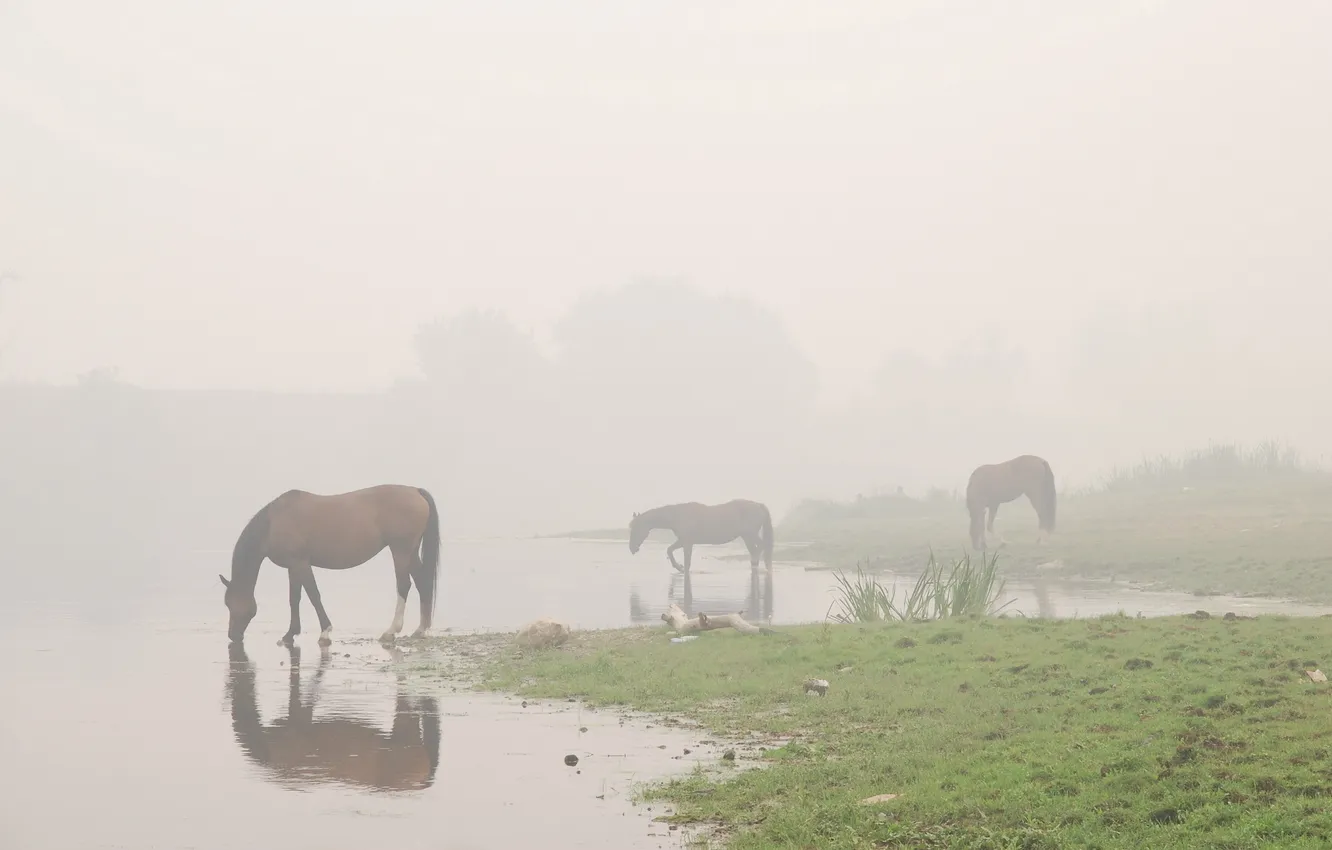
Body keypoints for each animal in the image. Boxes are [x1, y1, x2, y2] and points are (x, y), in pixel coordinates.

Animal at [219, 484, 441, 646]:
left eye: (230, 603)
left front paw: (325, 632)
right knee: (422, 583)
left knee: (404, 585)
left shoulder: (301, 563)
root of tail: (415, 491)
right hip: (411, 552)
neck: (273, 523)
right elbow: (295, 599)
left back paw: (391, 631)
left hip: (400, 551)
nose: (232, 635)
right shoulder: (293, 566)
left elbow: (313, 595)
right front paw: (289, 634)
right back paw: (420, 629)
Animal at [628, 499, 774, 573]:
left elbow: (685, 561)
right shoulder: (683, 541)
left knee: (761, 547)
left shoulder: (686, 542)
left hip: (750, 534)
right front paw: (679, 567)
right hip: (746, 537)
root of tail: (759, 505)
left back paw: (755, 562)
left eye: (635, 528)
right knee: (755, 550)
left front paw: (680, 568)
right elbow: (670, 550)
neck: (677, 515)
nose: (632, 548)